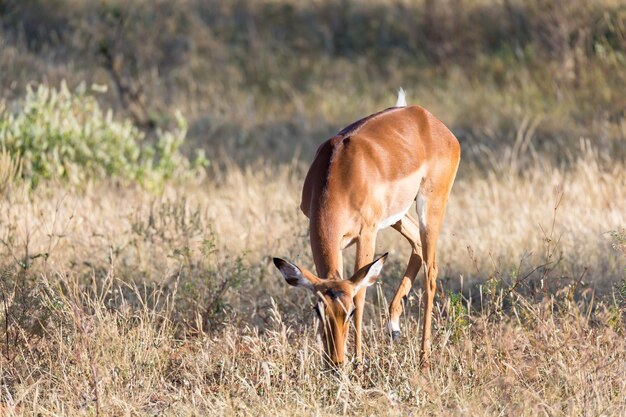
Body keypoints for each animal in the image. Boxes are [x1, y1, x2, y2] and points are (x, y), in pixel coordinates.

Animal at [272, 88, 458, 364]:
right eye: (318, 310)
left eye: (349, 312)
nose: (336, 363)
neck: (338, 175)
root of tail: (424, 116)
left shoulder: (367, 233)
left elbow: (361, 292)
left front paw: (358, 361)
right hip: (397, 216)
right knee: (416, 243)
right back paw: (393, 326)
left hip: (430, 206)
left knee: (431, 271)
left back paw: (424, 357)